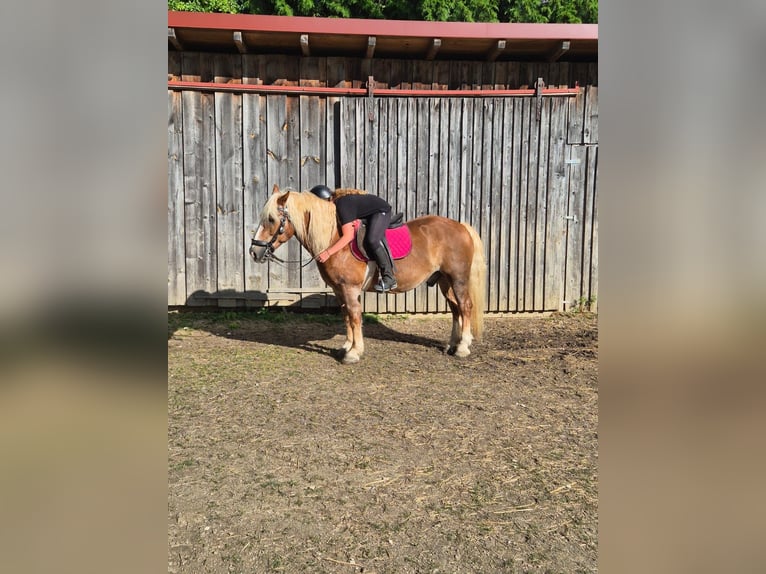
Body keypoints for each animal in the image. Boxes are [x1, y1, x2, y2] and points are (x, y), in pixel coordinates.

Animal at [249, 185, 486, 364]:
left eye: (271, 219)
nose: (254, 251)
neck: (334, 239)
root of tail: (460, 226)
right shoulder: (339, 290)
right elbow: (346, 315)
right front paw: (346, 347)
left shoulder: (350, 288)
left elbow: (355, 316)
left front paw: (354, 352)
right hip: (444, 281)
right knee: (455, 309)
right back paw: (452, 344)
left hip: (458, 279)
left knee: (465, 306)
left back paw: (463, 347)